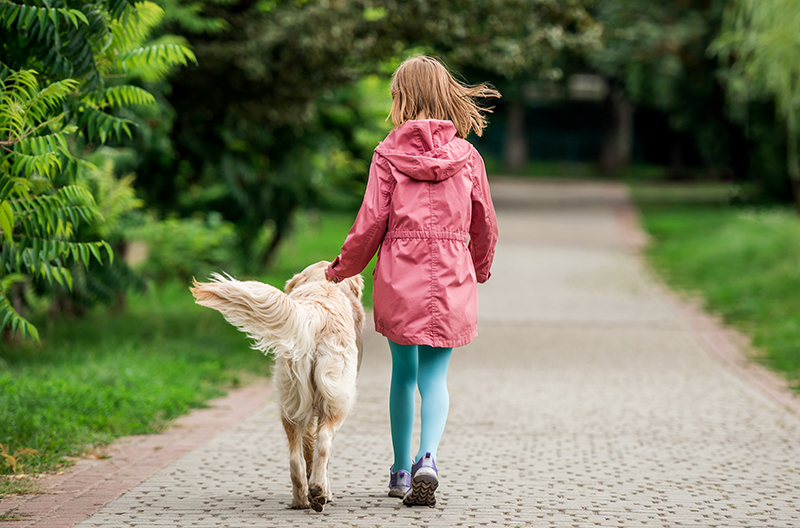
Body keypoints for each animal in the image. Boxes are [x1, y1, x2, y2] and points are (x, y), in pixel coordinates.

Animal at [189, 260, 364, 512]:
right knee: (323, 442)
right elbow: (319, 450)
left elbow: (307, 449)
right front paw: (326, 491)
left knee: (294, 457)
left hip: (290, 400)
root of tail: (316, 312)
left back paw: (301, 499)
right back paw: (318, 491)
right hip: (338, 401)